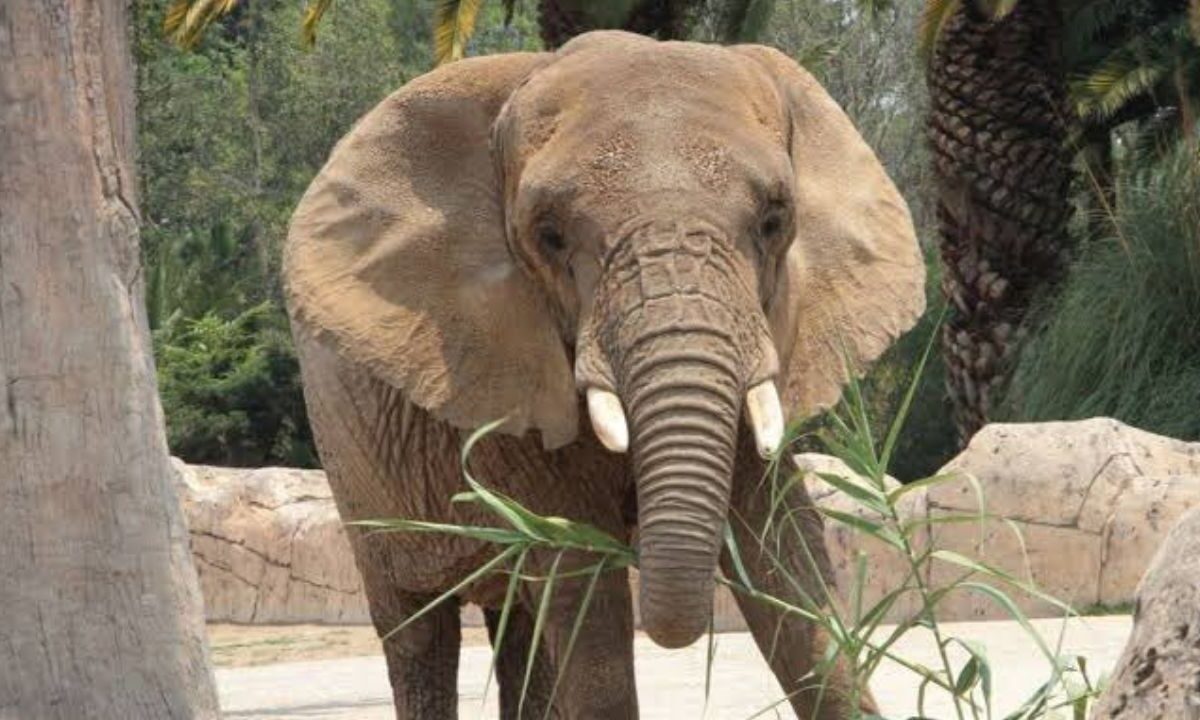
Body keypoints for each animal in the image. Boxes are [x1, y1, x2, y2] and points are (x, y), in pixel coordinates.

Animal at [285, 29, 921, 720]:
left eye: (775, 219)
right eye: (549, 235)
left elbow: (786, 558)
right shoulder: (505, 372)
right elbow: (583, 581)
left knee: (521, 622)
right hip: (355, 471)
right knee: (419, 629)